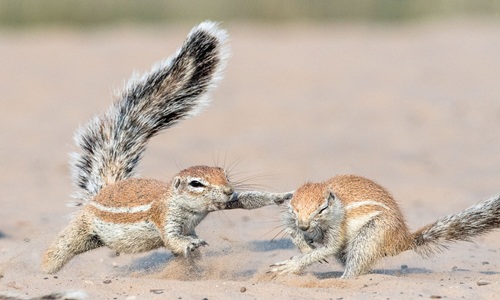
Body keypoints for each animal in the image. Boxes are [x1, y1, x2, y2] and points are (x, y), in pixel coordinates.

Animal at [44, 21, 292, 274]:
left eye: (225, 175)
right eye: (196, 184)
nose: (227, 190)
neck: (187, 208)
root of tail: (104, 190)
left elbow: (248, 200)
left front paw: (280, 196)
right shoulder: (164, 217)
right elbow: (172, 238)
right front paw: (189, 243)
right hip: (81, 228)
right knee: (59, 248)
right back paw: (45, 271)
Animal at [270, 175, 500, 278]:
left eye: (322, 208)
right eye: (293, 208)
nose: (304, 226)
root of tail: (401, 239)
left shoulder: (337, 227)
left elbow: (329, 247)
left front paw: (293, 265)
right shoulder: (291, 220)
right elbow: (292, 232)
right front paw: (304, 246)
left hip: (372, 234)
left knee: (356, 264)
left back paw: (341, 280)